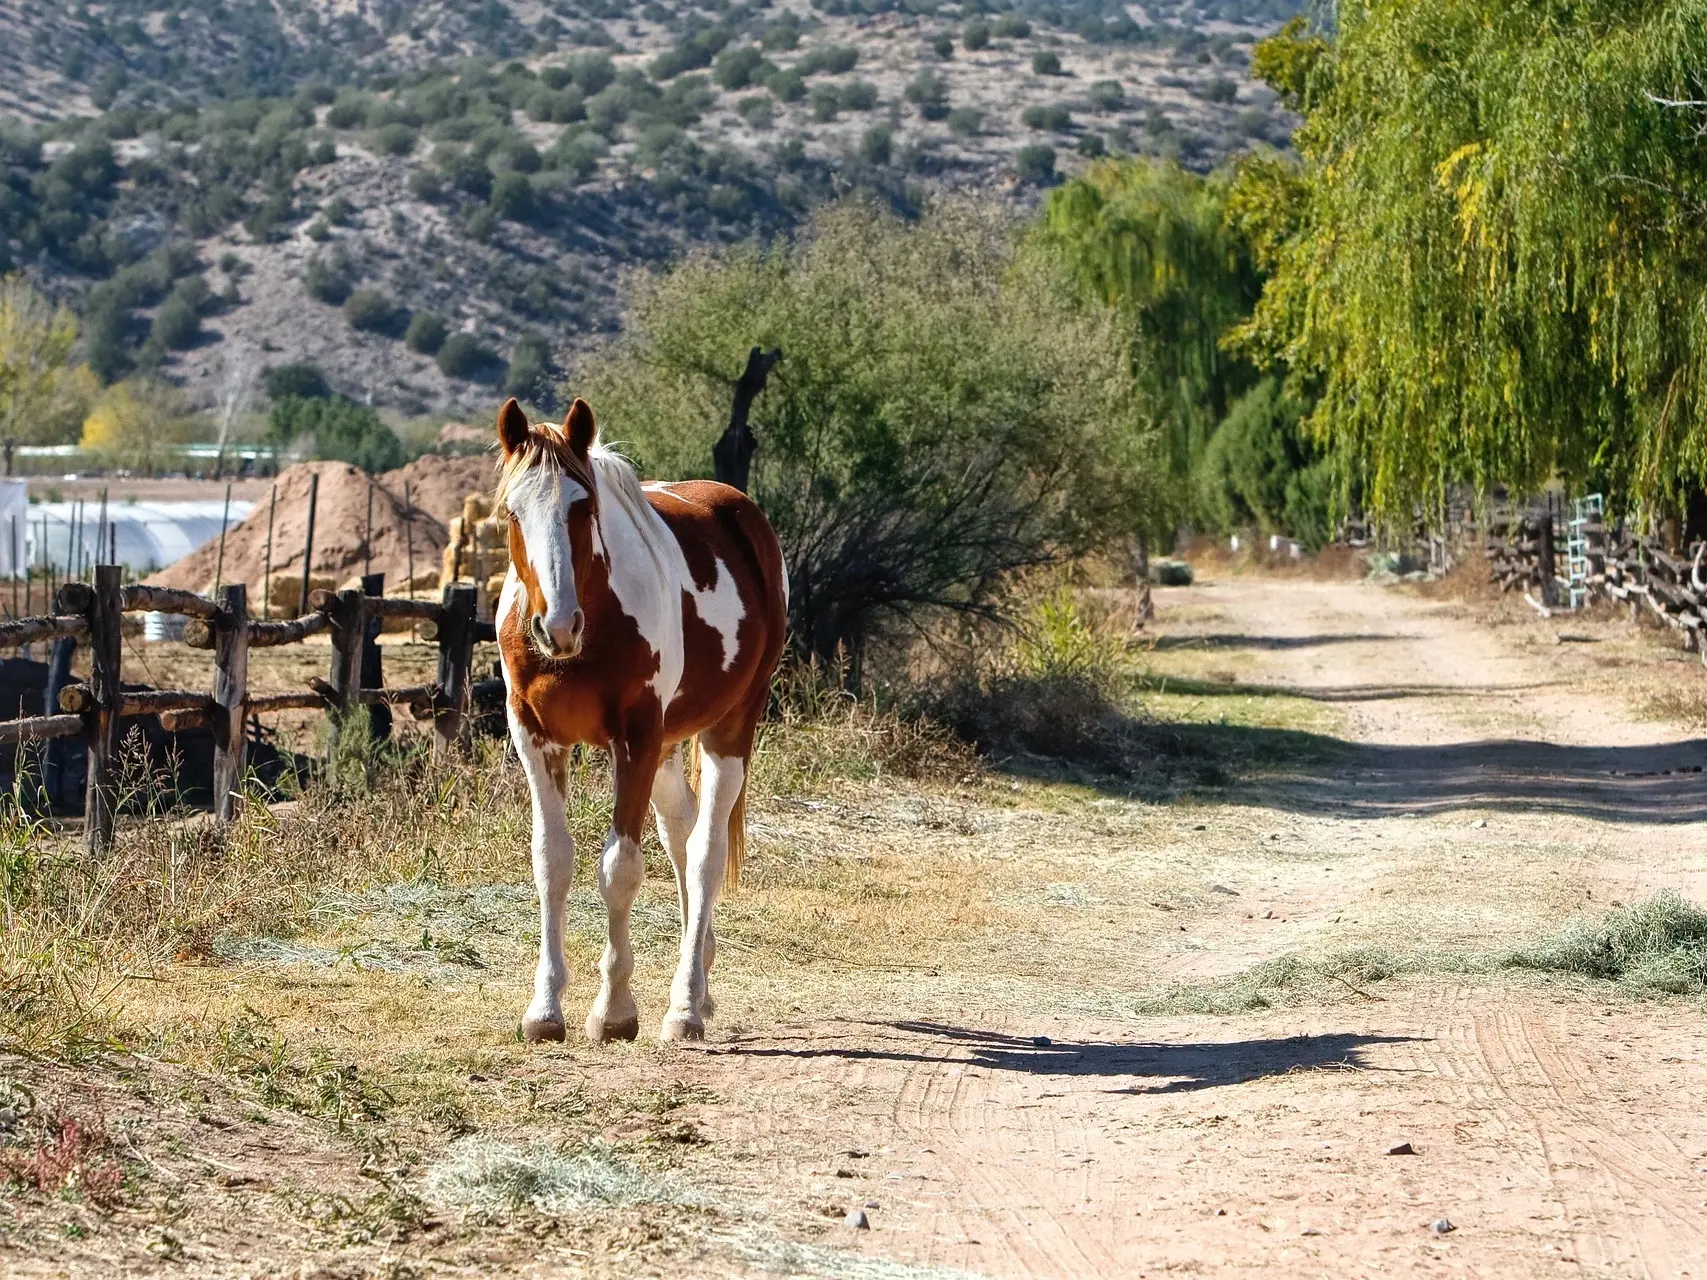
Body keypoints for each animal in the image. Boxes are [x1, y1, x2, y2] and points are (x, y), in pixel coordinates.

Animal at [491, 399, 788, 1044]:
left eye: (583, 506)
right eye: (511, 511)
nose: (557, 626)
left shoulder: (634, 741)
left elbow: (620, 869)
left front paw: (613, 1009)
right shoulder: (536, 739)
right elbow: (552, 861)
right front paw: (545, 1009)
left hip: (728, 729)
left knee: (704, 854)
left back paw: (684, 1007)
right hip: (670, 746)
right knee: (681, 835)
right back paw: (700, 983)